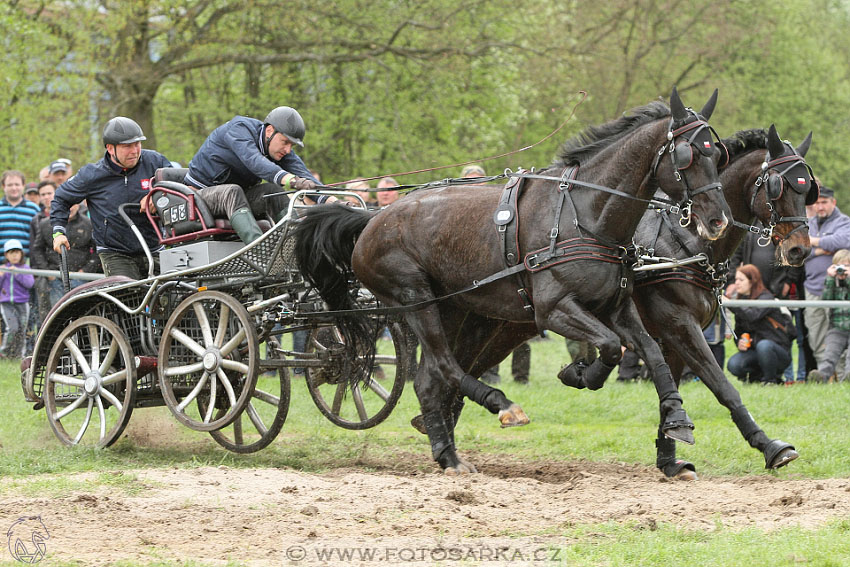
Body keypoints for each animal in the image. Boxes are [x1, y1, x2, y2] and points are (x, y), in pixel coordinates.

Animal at [294, 89, 728, 472]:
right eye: (688, 155)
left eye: (718, 154)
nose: (717, 220)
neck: (583, 214)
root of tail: (371, 219)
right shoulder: (552, 311)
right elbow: (608, 346)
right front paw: (579, 374)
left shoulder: (618, 308)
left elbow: (649, 353)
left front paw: (676, 418)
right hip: (415, 300)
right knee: (445, 366)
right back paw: (501, 406)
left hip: (456, 310)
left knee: (430, 379)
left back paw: (448, 456)